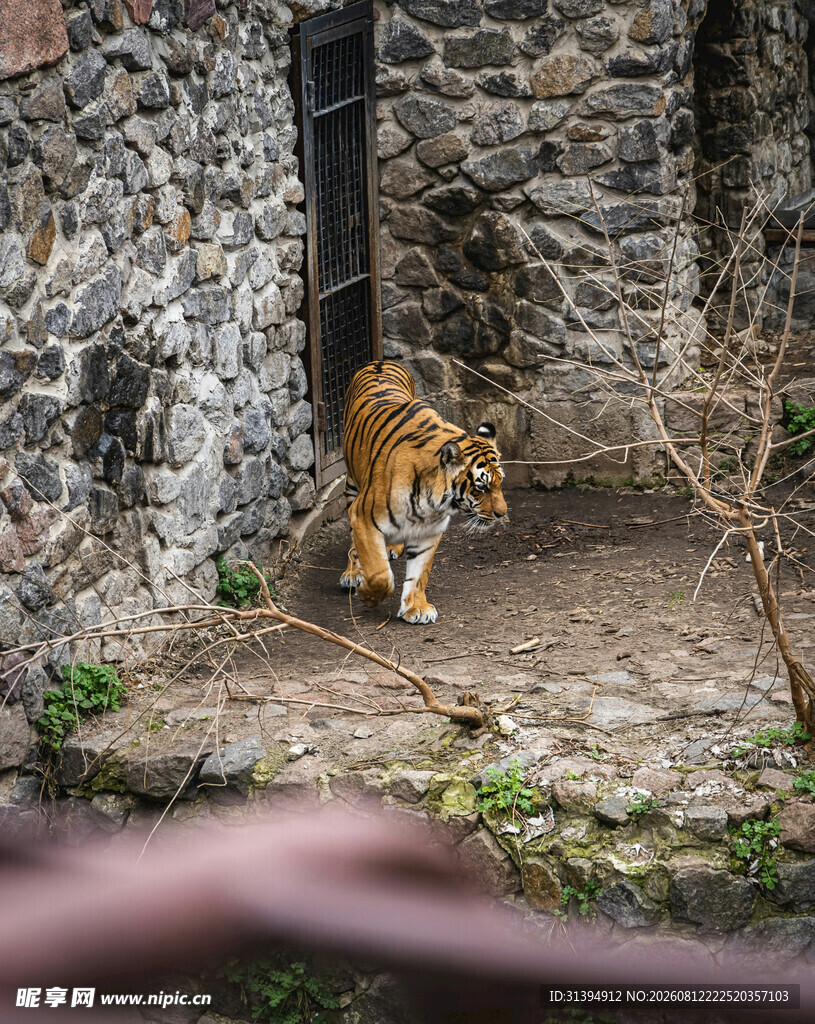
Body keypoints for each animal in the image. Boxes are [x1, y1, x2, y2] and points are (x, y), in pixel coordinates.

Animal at [339, 360, 507, 624]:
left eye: (500, 483)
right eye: (482, 487)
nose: (503, 513)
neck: (433, 502)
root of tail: (380, 361)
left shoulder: (429, 529)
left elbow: (419, 573)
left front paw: (416, 608)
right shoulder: (363, 516)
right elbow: (379, 573)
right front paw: (368, 595)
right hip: (352, 486)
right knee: (355, 544)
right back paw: (353, 572)